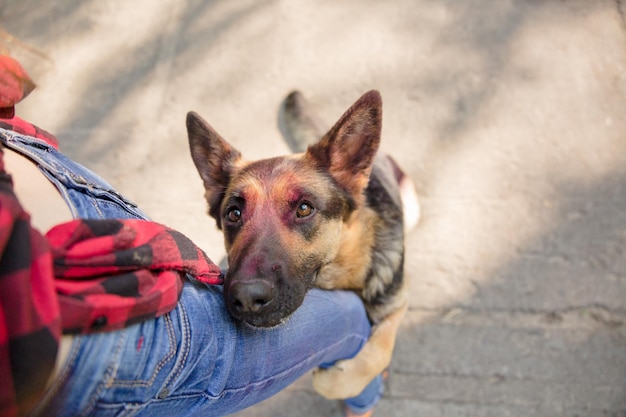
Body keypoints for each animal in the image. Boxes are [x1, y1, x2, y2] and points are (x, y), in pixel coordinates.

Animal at [186, 92, 420, 400]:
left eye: (304, 209)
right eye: (233, 214)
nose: (247, 297)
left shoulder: (398, 303)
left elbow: (378, 353)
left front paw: (336, 380)